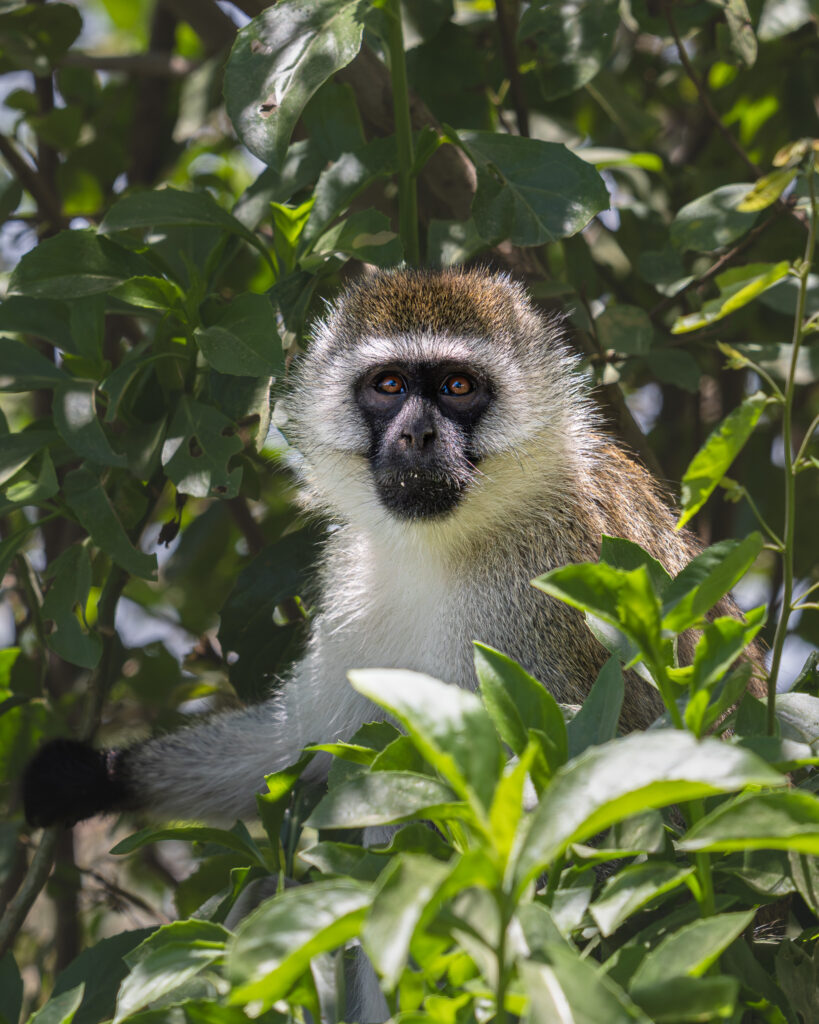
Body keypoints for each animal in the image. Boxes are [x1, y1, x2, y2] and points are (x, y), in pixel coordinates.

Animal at [22, 266, 761, 832]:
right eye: (389, 387)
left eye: (457, 387)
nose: (416, 436)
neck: (446, 544)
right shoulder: (355, 577)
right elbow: (298, 746)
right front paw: (88, 777)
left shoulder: (546, 588)